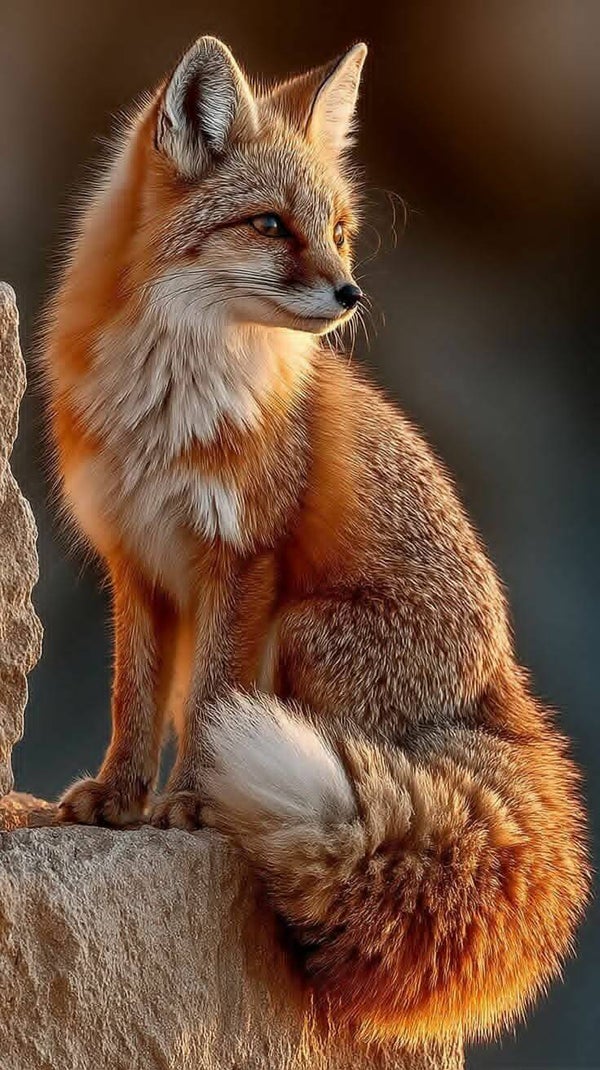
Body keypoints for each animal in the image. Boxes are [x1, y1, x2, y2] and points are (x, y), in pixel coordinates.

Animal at [43, 36, 588, 1046]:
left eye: (336, 227)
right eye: (270, 225)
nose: (350, 292)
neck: (170, 403)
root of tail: (510, 696)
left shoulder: (245, 558)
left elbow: (209, 703)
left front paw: (187, 803)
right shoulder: (136, 563)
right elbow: (134, 699)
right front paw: (118, 797)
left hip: (303, 633)